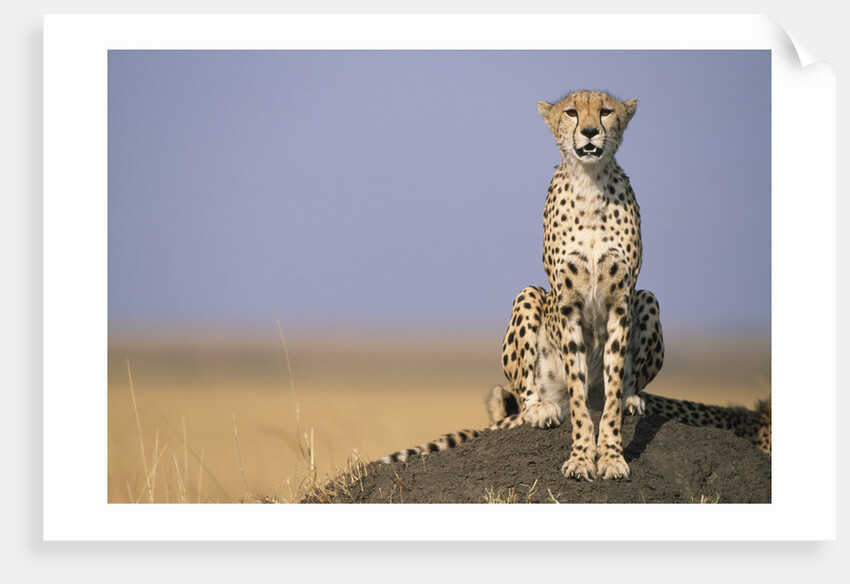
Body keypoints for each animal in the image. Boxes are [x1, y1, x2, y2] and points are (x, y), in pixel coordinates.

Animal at [378, 90, 770, 471]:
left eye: (606, 111)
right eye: (571, 112)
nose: (590, 131)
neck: (590, 182)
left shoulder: (620, 301)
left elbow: (612, 389)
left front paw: (610, 456)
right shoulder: (568, 305)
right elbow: (577, 392)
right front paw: (582, 457)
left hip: (647, 299)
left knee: (623, 381)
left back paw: (632, 400)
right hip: (529, 298)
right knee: (529, 393)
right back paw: (539, 409)